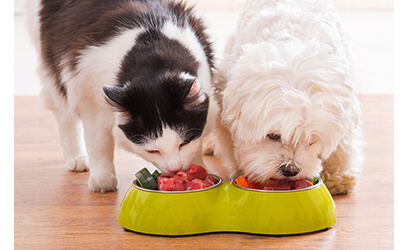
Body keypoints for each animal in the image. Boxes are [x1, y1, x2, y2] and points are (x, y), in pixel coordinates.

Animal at [26, 0, 216, 192]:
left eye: (184, 143)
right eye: (153, 151)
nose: (175, 168)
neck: (152, 58)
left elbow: (197, 145)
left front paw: (199, 169)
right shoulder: (91, 101)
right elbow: (98, 144)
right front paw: (102, 179)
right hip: (56, 70)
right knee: (65, 116)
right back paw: (77, 158)